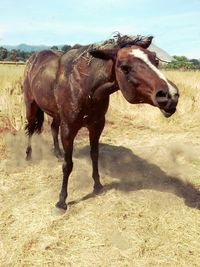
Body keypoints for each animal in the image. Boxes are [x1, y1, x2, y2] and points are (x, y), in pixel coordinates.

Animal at [22, 36, 179, 211]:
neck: (83, 86)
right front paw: (61, 201)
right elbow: (68, 165)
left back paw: (57, 153)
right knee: (30, 128)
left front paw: (97, 186)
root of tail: (33, 58)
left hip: (55, 114)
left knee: (53, 128)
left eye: (155, 60)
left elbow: (95, 155)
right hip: (30, 105)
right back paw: (28, 156)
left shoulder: (96, 125)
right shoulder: (69, 128)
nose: (170, 95)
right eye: (125, 67)